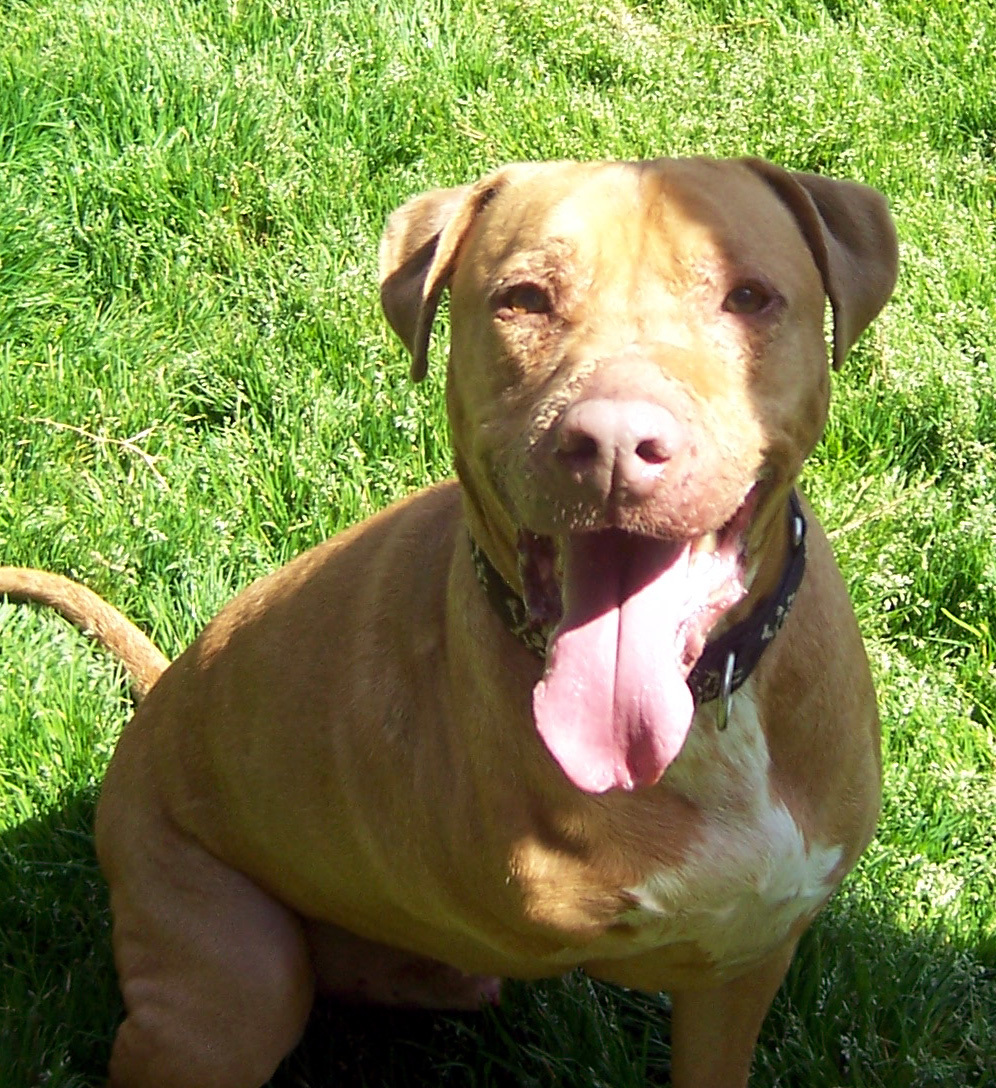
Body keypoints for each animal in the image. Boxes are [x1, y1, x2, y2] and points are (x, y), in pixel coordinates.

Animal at [0, 155, 901, 1088]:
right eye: (524, 298)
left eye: (748, 296)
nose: (615, 442)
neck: (710, 705)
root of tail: (155, 700)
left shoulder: (745, 963)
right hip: (226, 994)